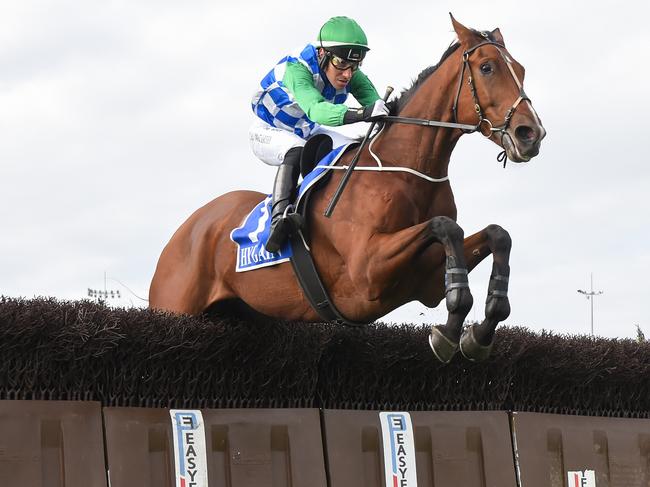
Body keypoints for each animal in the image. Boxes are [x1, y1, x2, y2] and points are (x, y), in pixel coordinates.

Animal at [147, 15, 540, 364]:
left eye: (521, 70)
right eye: (487, 68)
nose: (531, 134)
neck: (406, 172)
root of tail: (185, 230)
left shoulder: (424, 280)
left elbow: (497, 234)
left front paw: (478, 332)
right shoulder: (367, 272)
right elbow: (446, 226)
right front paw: (449, 331)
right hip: (175, 307)